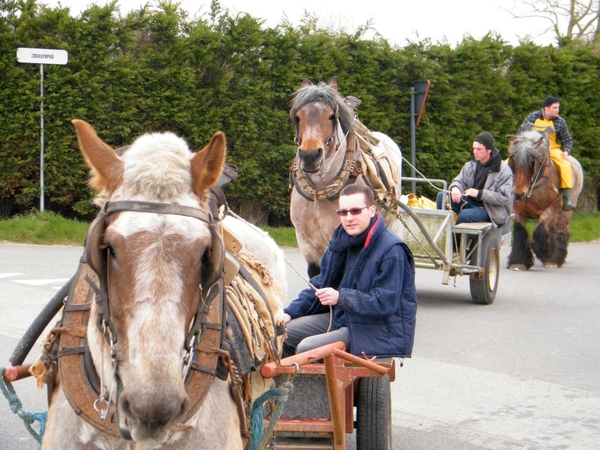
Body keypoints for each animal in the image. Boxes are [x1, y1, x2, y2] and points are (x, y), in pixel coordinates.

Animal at [506, 129, 580, 270]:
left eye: (532, 162)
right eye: (513, 159)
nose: (518, 193)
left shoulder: (549, 209)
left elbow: (540, 230)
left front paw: (547, 255)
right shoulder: (516, 211)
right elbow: (520, 231)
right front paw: (519, 261)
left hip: (566, 210)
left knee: (561, 229)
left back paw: (556, 257)